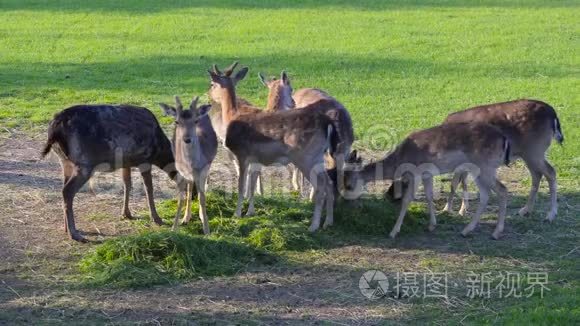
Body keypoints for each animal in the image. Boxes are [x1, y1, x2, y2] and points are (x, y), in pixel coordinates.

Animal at [40, 104, 177, 242]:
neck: (159, 153)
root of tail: (54, 128)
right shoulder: (145, 159)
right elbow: (149, 188)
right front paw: (157, 219)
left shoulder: (126, 162)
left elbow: (127, 184)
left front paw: (126, 213)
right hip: (84, 162)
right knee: (67, 191)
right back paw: (74, 234)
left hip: (64, 161)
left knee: (63, 187)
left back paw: (65, 228)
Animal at [159, 95, 218, 234]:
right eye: (177, 122)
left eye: (195, 121)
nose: (187, 139)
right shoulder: (180, 173)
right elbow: (181, 199)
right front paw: (174, 228)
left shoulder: (203, 170)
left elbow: (202, 198)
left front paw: (206, 230)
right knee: (190, 187)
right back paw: (186, 218)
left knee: (202, 187)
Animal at [207, 63, 340, 232]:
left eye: (212, 83)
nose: (209, 94)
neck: (231, 116)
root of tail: (327, 123)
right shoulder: (255, 159)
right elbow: (252, 185)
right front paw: (250, 212)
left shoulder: (242, 154)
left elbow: (241, 186)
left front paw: (236, 215)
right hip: (318, 157)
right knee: (329, 183)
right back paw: (328, 222)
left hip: (306, 157)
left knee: (321, 186)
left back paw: (314, 225)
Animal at [344, 122, 512, 239]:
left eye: (349, 185)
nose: (346, 200)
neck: (401, 159)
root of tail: (504, 139)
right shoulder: (427, 174)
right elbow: (429, 195)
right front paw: (432, 225)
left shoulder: (416, 173)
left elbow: (407, 200)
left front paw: (393, 232)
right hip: (480, 170)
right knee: (485, 195)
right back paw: (466, 231)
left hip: (485, 167)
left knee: (502, 190)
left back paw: (496, 233)